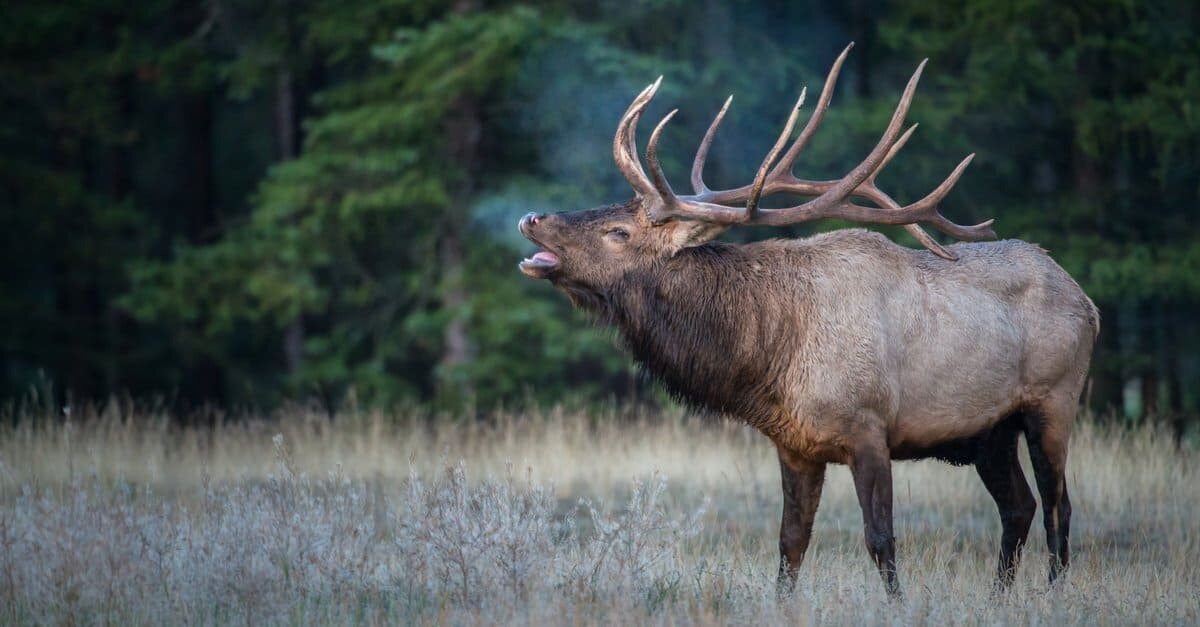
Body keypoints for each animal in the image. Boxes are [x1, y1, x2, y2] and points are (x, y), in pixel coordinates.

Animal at [516, 45, 1099, 595]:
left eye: (618, 232)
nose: (530, 216)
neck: (772, 355)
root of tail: (1087, 303)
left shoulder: (869, 426)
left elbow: (880, 539)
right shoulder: (795, 446)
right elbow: (790, 542)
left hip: (1053, 402)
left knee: (1058, 508)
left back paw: (1052, 593)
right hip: (989, 432)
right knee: (1019, 507)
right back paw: (1000, 597)